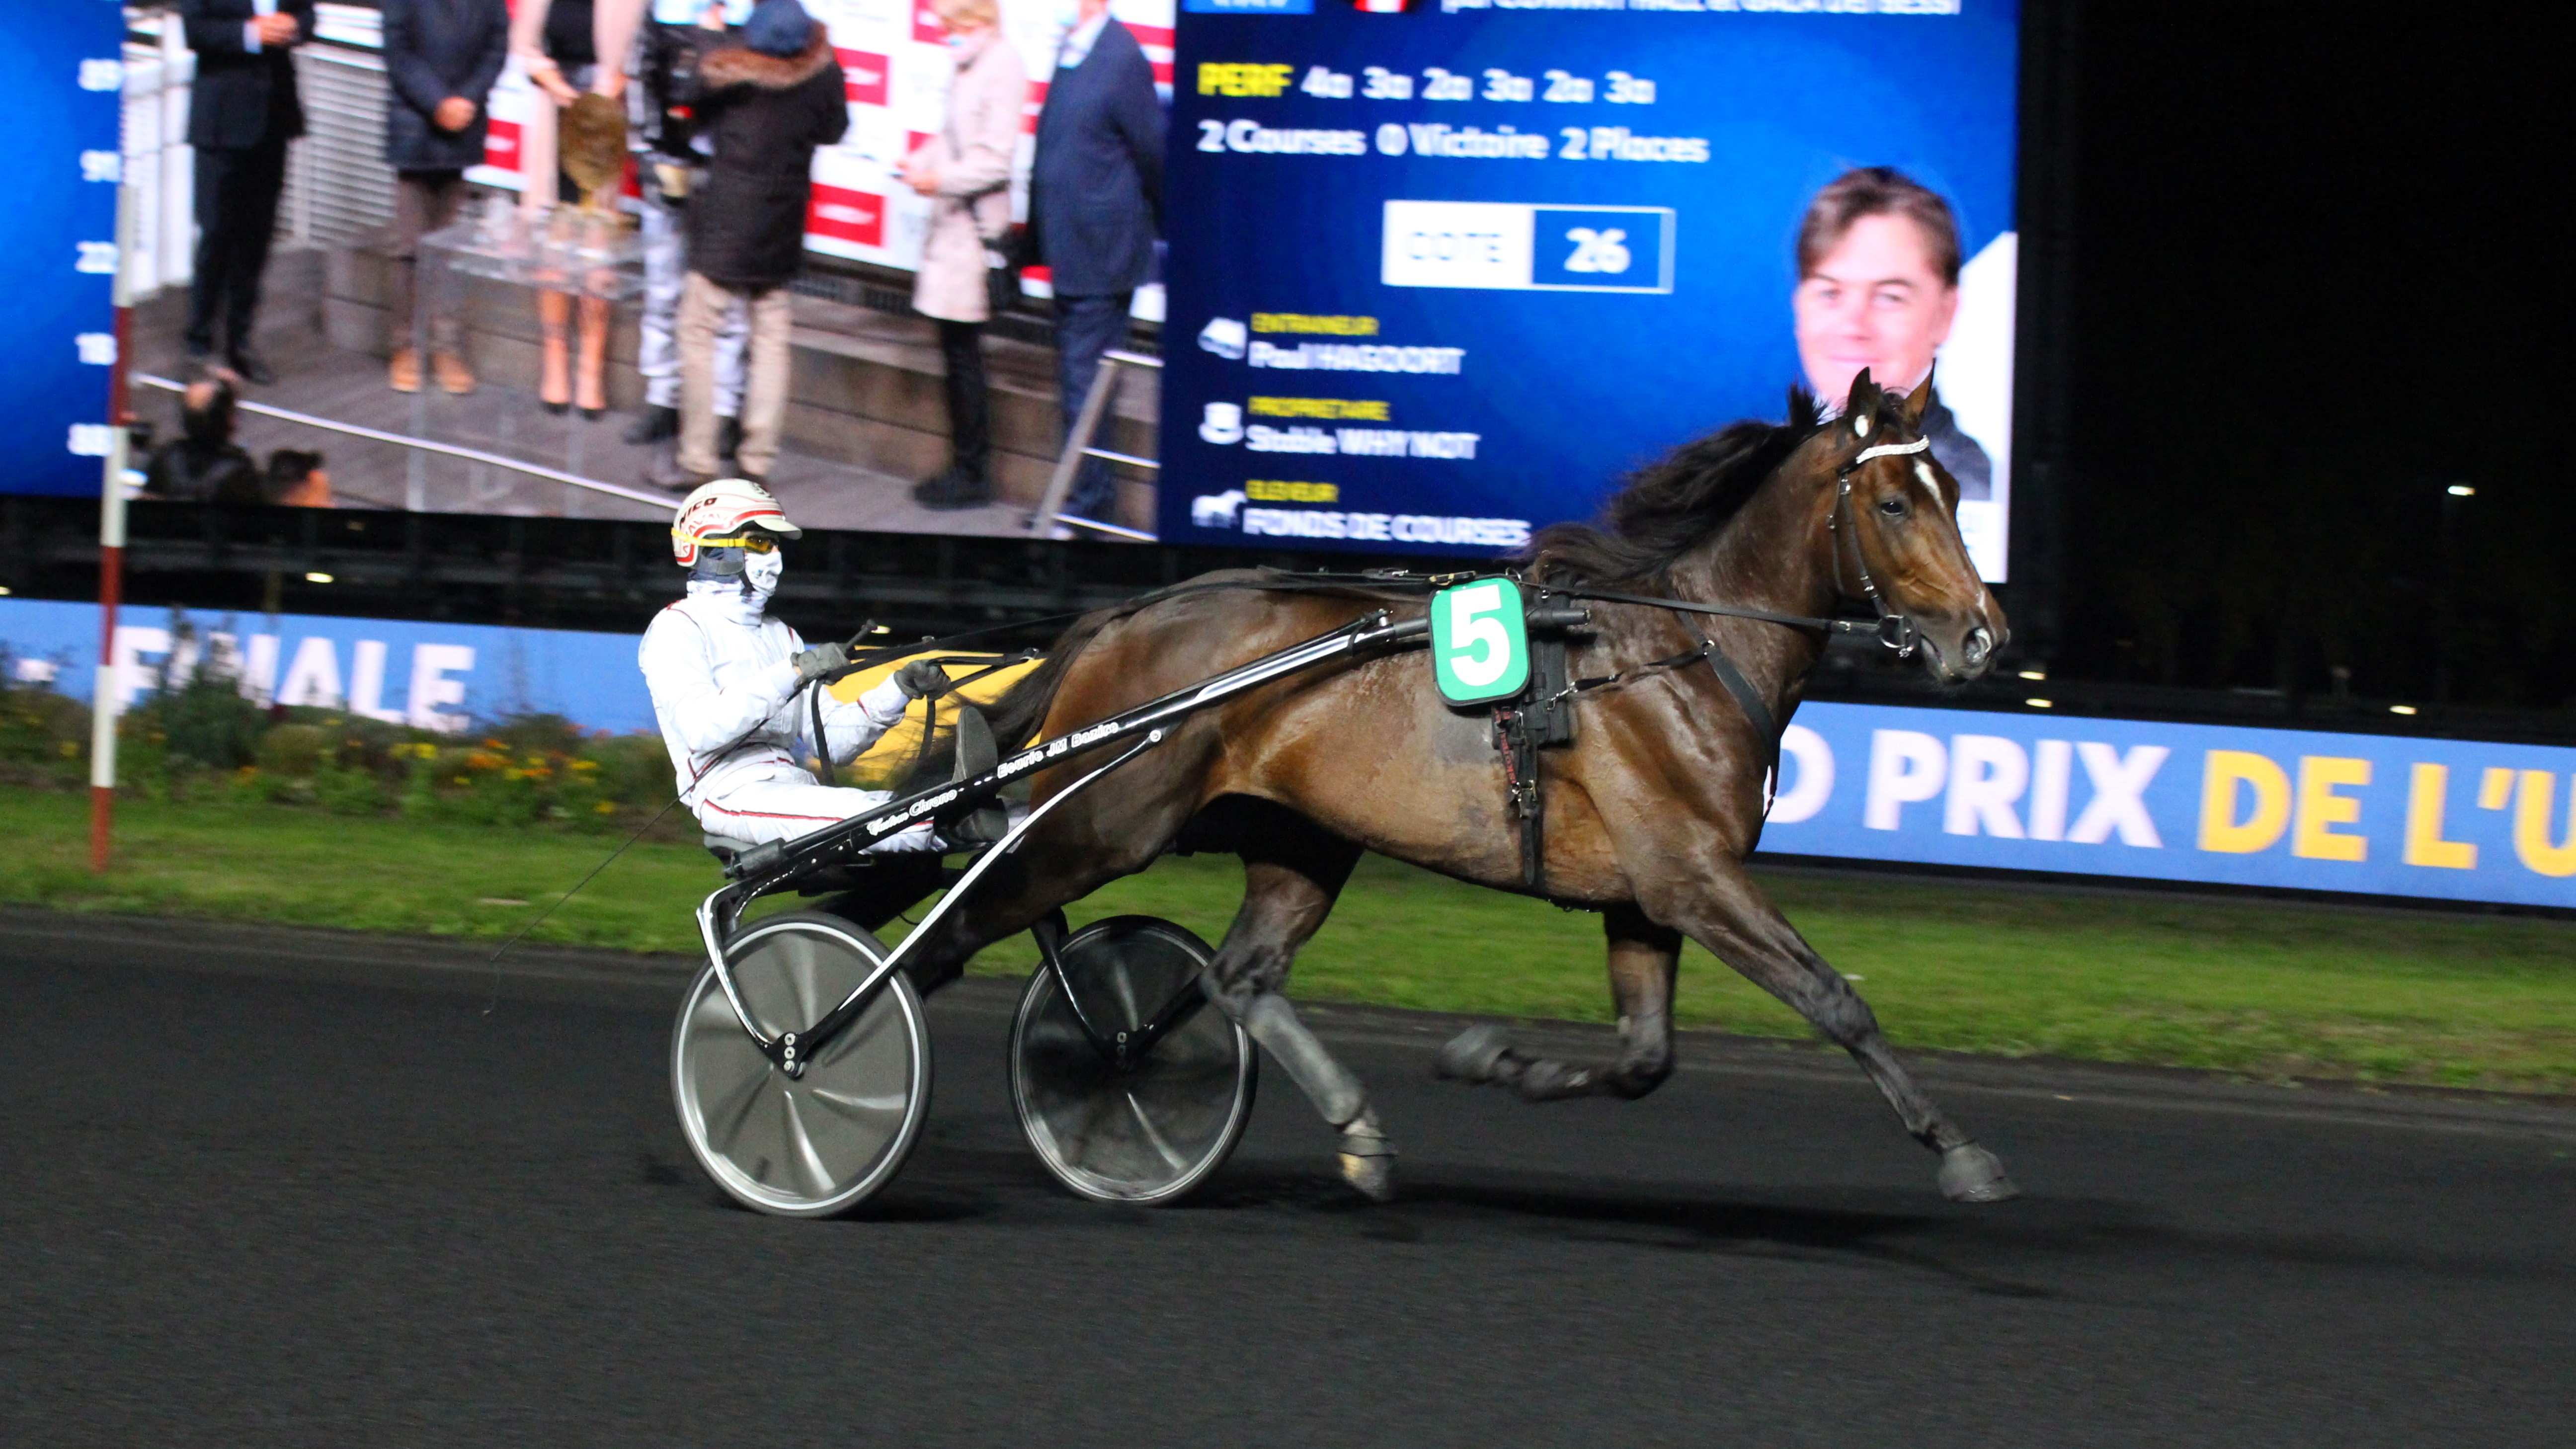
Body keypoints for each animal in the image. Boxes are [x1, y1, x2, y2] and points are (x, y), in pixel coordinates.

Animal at [917, 366, 2019, 1201]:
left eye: (1955, 497)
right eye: (1893, 503)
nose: (1981, 637)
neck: (1688, 655)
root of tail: (1121, 617)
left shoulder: (1648, 897)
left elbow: (1645, 1059)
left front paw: (1491, 1059)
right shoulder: (1695, 879)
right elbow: (1834, 999)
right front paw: (1960, 1151)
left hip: (1301, 842)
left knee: (1237, 978)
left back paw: (1311, 1117)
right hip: (1100, 826)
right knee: (957, 930)